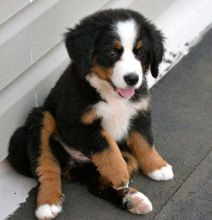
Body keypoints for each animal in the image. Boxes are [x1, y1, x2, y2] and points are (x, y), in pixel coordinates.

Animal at [8, 8, 174, 220]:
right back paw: (48, 203)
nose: (132, 79)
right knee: (46, 166)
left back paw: (131, 200)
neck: (110, 93)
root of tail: (73, 166)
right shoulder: (75, 125)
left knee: (98, 184)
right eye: (112, 52)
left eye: (140, 52)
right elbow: (106, 144)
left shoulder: (139, 113)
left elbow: (144, 142)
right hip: (39, 119)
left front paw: (157, 166)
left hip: (118, 160)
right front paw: (120, 174)